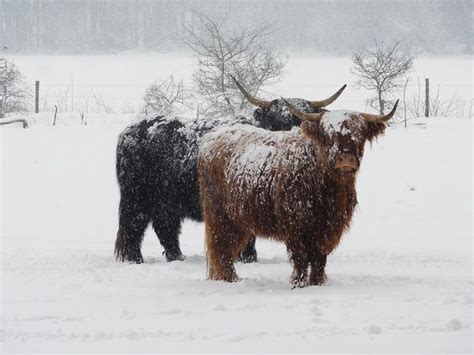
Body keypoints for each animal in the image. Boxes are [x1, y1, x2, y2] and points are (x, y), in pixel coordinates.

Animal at [114, 79, 344, 266]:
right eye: (278, 120)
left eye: (300, 120)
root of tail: (131, 130)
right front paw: (248, 257)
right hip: (136, 196)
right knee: (133, 226)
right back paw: (135, 259)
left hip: (165, 200)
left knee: (165, 226)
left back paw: (177, 257)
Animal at [198, 98, 398, 288]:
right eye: (328, 135)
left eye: (360, 134)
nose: (346, 158)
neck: (329, 191)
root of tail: (213, 137)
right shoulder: (296, 223)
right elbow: (301, 257)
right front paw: (298, 284)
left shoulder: (330, 227)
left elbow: (319, 259)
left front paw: (318, 283)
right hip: (220, 215)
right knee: (221, 248)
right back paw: (229, 279)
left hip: (239, 219)